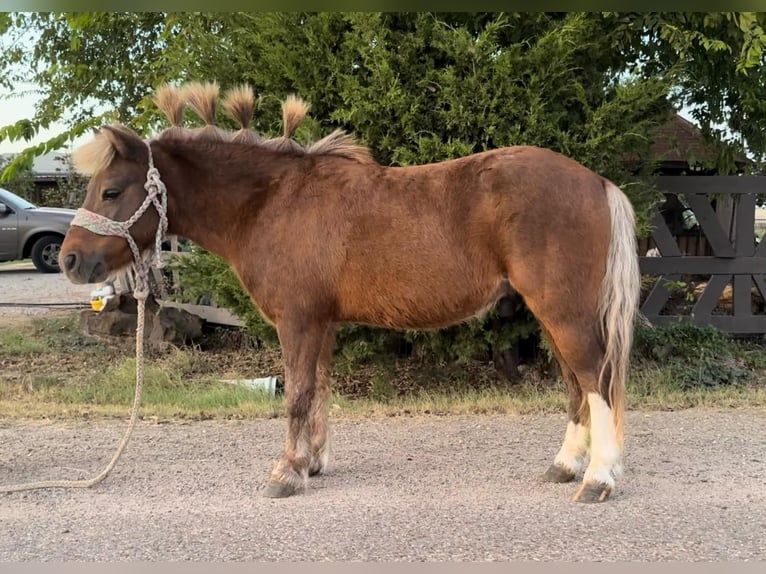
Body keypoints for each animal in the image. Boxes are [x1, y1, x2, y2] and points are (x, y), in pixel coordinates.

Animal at [60, 81, 640, 504]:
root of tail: (596, 183)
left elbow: (296, 394)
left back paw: (599, 479)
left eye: (111, 191)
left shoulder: (297, 321)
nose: (69, 259)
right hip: (552, 314)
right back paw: (566, 466)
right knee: (576, 383)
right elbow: (317, 390)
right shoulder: (321, 323)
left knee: (594, 378)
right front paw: (311, 463)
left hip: (563, 310)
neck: (271, 202)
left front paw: (286, 473)